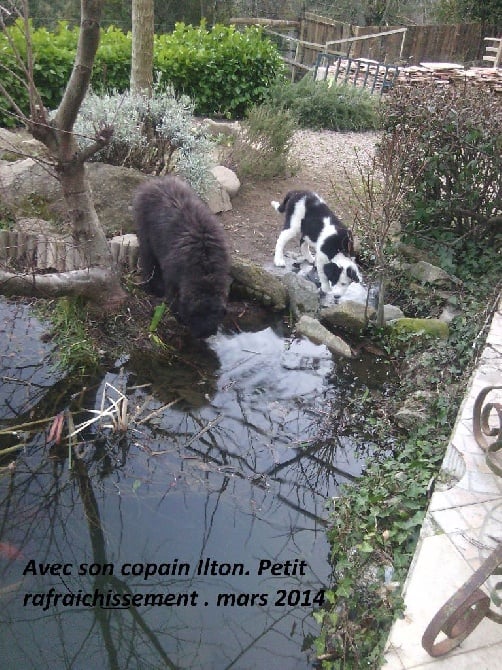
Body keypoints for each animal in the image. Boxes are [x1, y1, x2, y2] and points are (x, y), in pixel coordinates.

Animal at [131, 176, 229, 338]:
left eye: (214, 314)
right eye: (196, 314)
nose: (205, 334)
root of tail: (156, 181)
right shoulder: (173, 276)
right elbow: (173, 295)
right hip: (146, 237)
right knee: (148, 261)